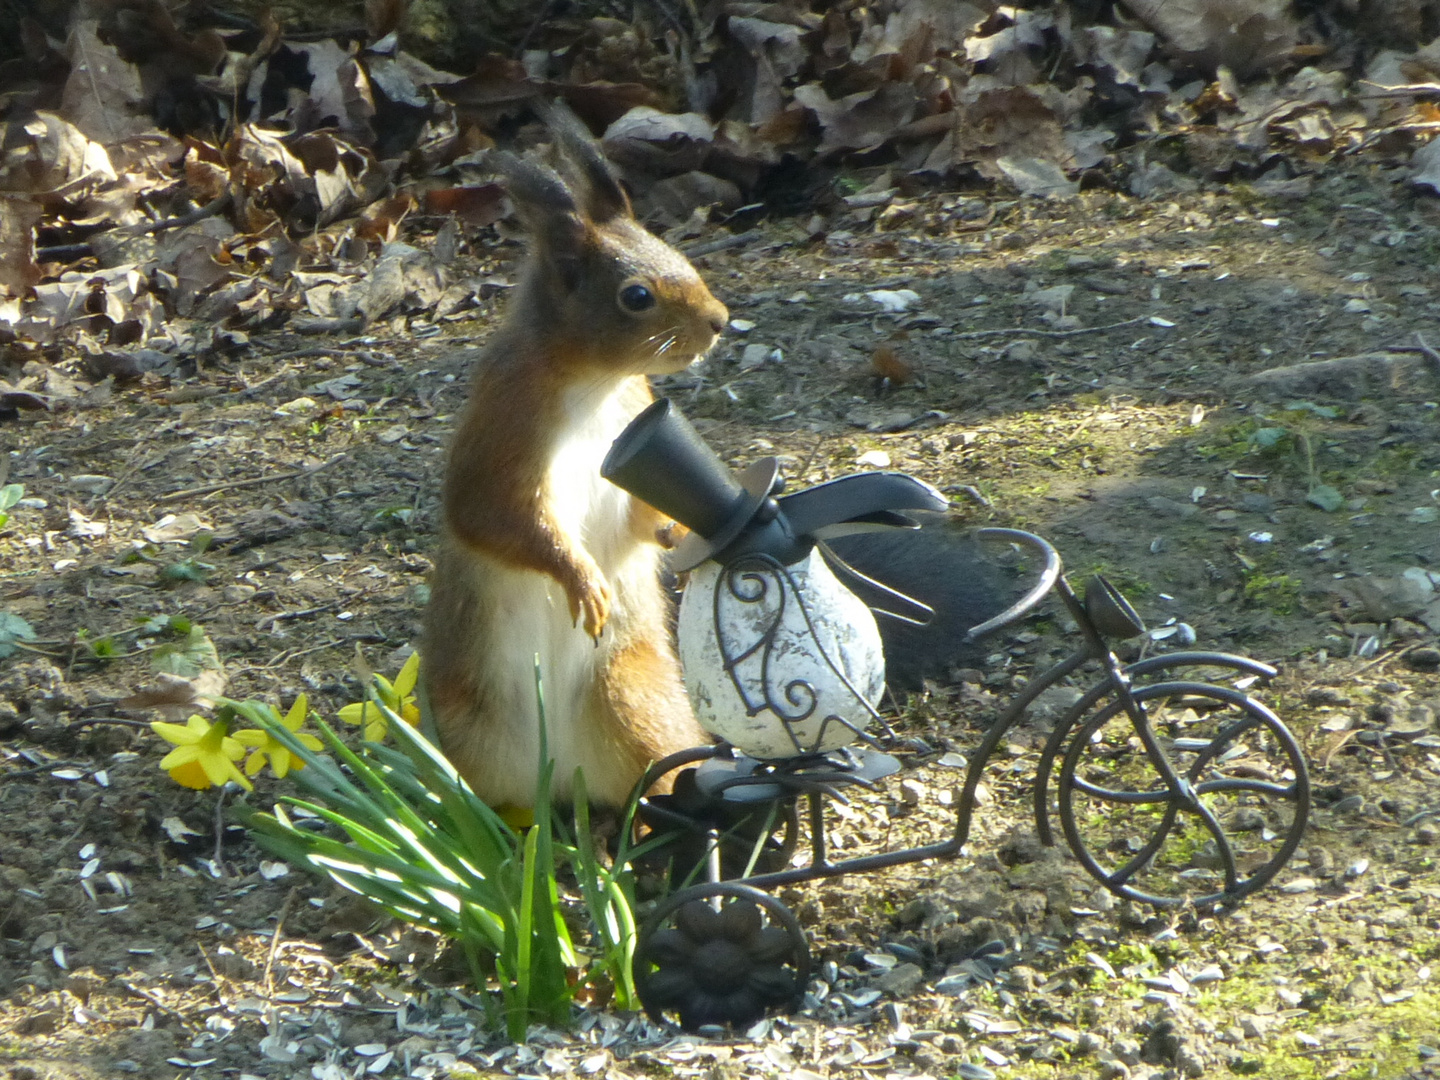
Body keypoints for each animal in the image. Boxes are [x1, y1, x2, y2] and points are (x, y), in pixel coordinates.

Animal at [420, 108, 725, 812]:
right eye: (635, 297)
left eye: (678, 254)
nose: (719, 321)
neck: (594, 384)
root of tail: (560, 775)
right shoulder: (504, 429)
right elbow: (493, 517)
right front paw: (580, 579)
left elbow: (641, 519)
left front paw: (677, 530)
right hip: (465, 731)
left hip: (634, 700)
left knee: (654, 771)